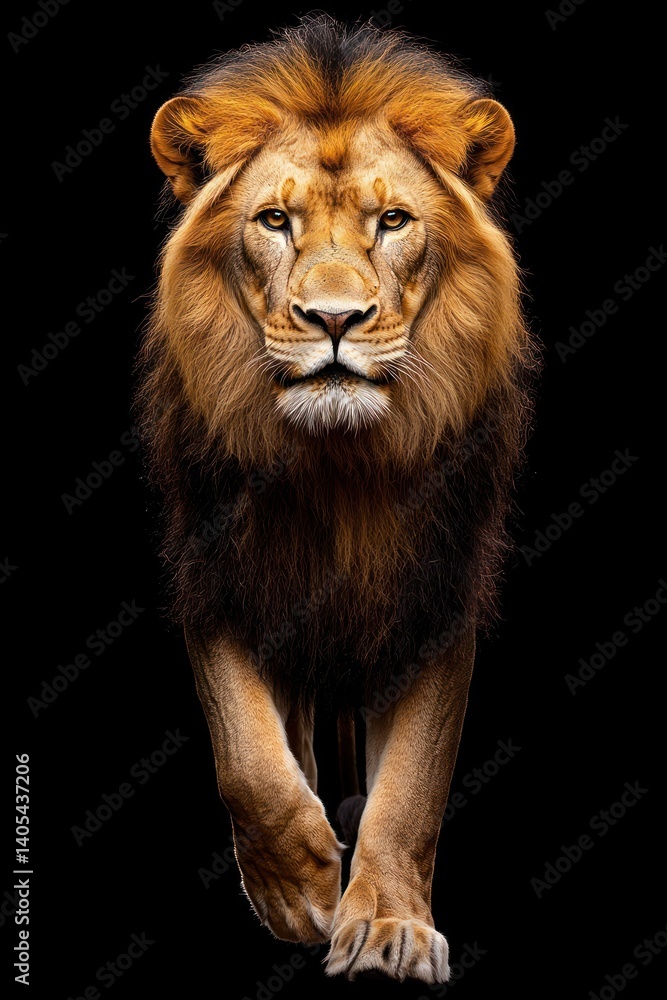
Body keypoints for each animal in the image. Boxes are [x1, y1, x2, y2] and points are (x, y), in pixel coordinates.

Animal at [137, 15, 537, 985]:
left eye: (391, 221)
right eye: (274, 221)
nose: (332, 320)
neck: (336, 465)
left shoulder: (435, 590)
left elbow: (413, 789)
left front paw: (387, 926)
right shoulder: (219, 570)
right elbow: (247, 757)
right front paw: (301, 890)